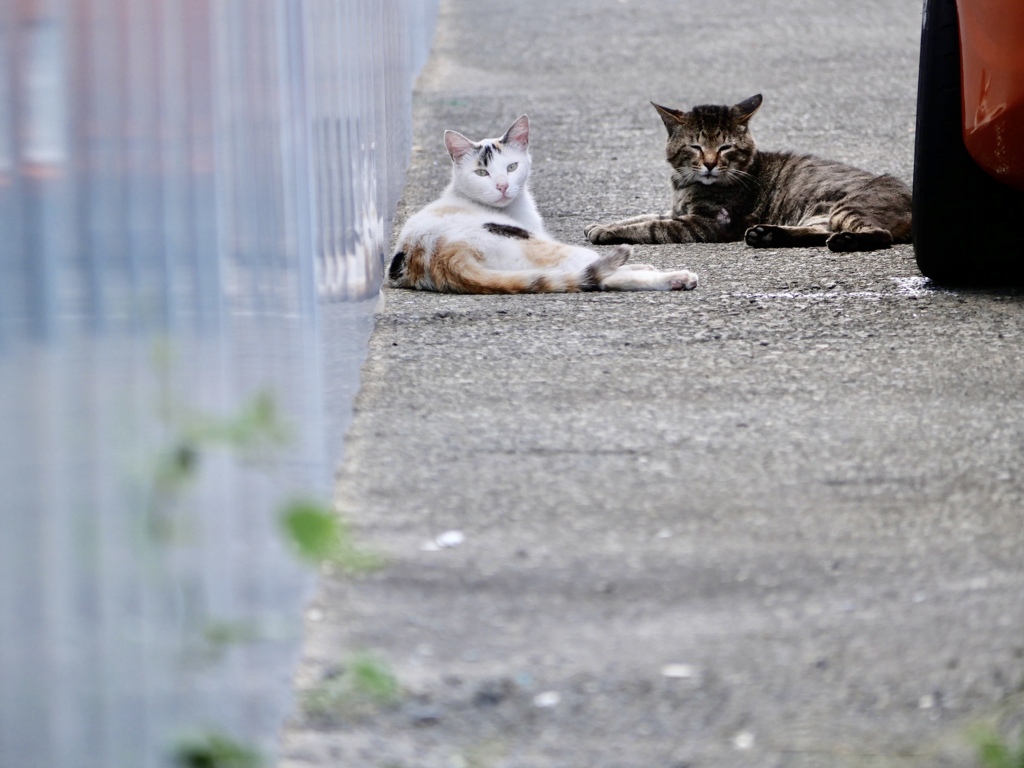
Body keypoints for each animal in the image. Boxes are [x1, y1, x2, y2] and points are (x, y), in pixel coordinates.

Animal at [387, 115, 700, 292]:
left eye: (511, 167)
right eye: (482, 173)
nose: (502, 186)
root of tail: (441, 258)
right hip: (535, 245)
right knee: (590, 269)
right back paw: (673, 276)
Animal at [585, 95, 913, 253]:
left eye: (725, 147)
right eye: (695, 146)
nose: (709, 164)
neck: (685, 184)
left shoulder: (707, 223)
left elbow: (650, 226)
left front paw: (608, 232)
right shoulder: (676, 210)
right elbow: (641, 216)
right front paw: (602, 224)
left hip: (848, 207)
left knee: (878, 235)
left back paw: (846, 242)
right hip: (821, 215)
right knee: (821, 232)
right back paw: (767, 234)